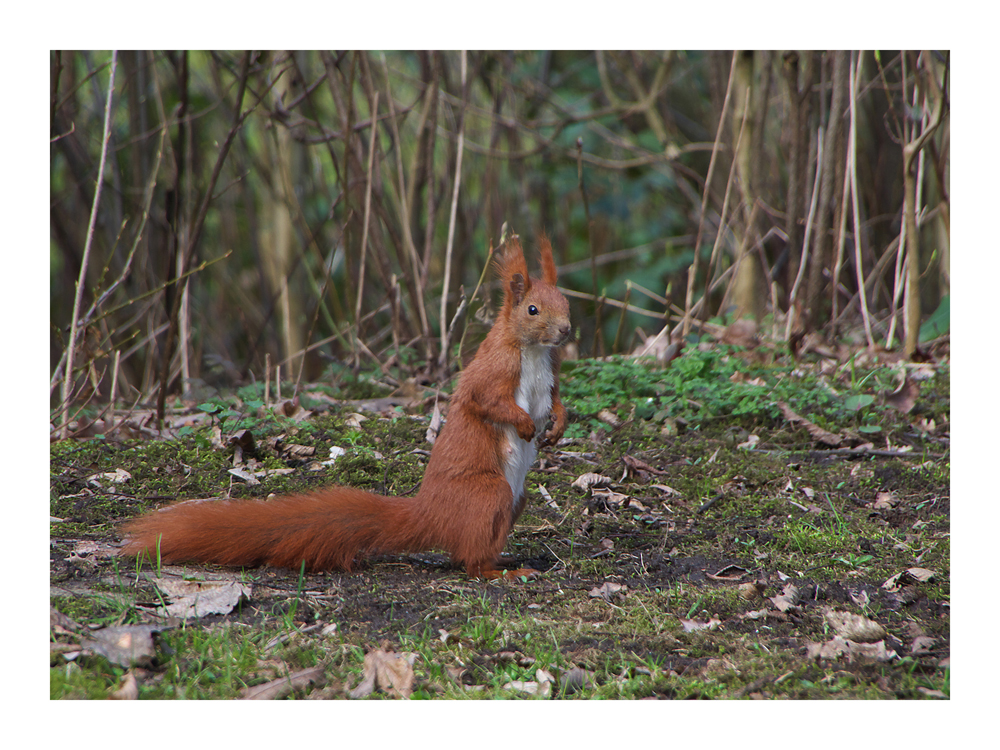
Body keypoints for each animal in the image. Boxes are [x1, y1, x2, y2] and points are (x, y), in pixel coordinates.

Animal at [120, 235, 572, 580]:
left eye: (566, 301)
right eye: (532, 309)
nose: (567, 330)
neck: (532, 351)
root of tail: (430, 514)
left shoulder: (551, 372)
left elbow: (556, 399)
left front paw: (557, 426)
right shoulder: (492, 372)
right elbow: (487, 401)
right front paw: (525, 425)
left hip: (516, 501)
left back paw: (507, 558)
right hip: (489, 493)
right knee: (469, 561)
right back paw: (501, 572)